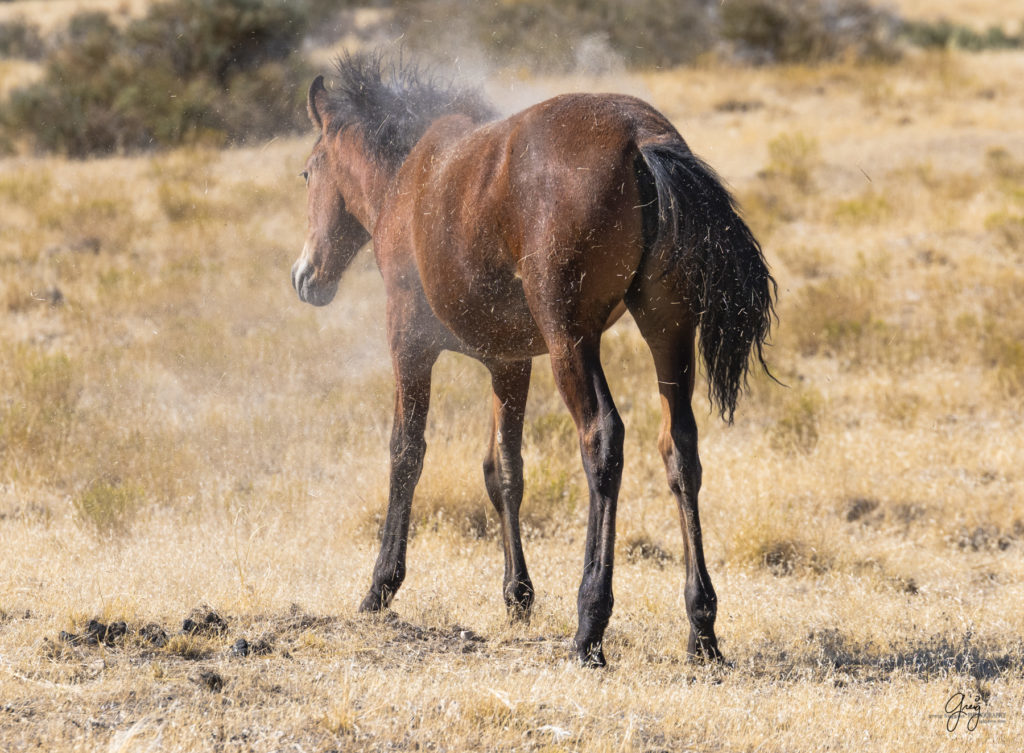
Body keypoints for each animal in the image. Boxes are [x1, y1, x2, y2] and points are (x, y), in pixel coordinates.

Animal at [290, 54, 774, 663]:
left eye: (309, 172)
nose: (305, 277)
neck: (414, 175)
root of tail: (642, 139)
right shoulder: (509, 363)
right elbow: (504, 469)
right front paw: (517, 596)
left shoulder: (408, 342)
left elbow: (406, 452)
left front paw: (380, 586)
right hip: (668, 331)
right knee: (680, 449)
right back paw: (702, 629)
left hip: (571, 339)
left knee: (602, 439)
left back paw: (590, 624)